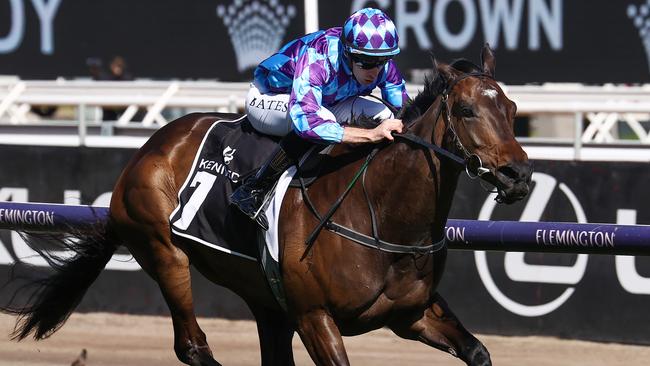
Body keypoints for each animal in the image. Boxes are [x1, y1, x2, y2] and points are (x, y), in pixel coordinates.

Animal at [3, 45, 532, 366]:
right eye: (466, 110)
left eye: (511, 110)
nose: (520, 175)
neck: (382, 217)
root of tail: (149, 149)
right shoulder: (315, 317)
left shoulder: (411, 313)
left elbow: (479, 352)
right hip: (164, 251)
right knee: (191, 345)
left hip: (264, 299)